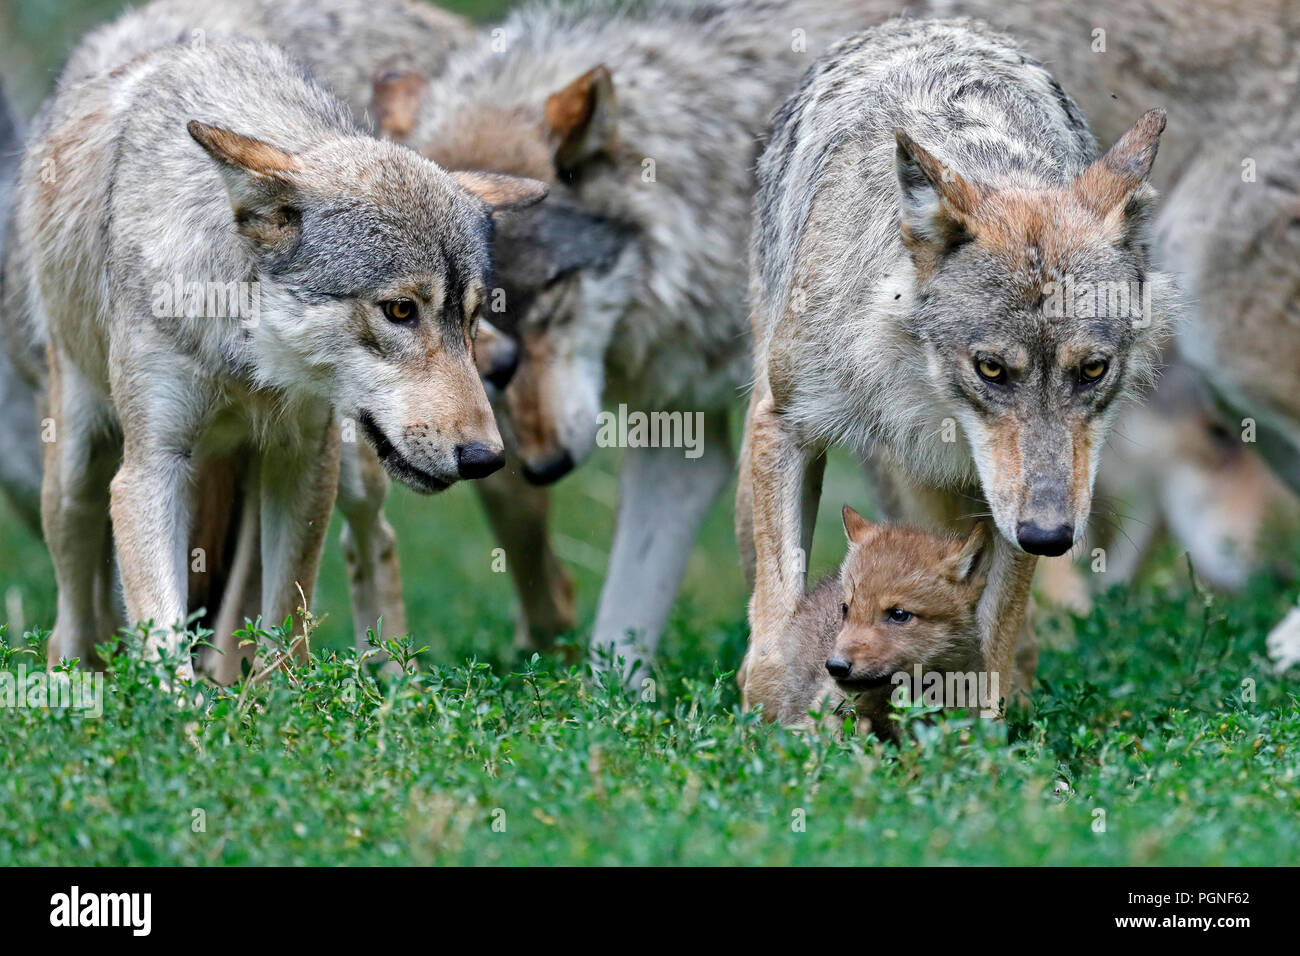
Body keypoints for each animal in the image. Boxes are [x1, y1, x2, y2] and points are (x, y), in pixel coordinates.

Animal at [2, 37, 540, 676]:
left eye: (470, 317)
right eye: (400, 310)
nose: (486, 458)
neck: (243, 355)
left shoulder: (305, 455)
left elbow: (288, 613)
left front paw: (280, 697)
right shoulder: (151, 468)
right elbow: (162, 632)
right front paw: (179, 703)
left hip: (348, 467)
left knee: (371, 540)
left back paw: (393, 681)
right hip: (74, 478)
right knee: (73, 613)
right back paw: (79, 674)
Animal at [743, 18, 1180, 712]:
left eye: (1093, 371)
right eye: (991, 369)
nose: (1051, 537)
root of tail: (920, 24)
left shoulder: (1014, 509)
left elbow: (991, 652)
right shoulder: (784, 423)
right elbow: (777, 629)